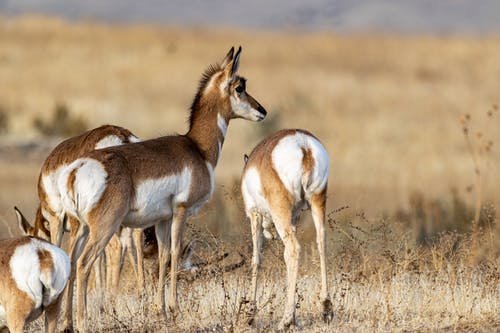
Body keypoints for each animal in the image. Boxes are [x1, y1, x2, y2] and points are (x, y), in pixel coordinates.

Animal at [13, 124, 145, 330]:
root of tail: (121, 135)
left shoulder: (58, 221)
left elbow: (69, 263)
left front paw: (67, 322)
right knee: (134, 243)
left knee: (116, 248)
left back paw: (111, 309)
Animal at [53, 46, 268, 330]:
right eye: (240, 87)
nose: (263, 111)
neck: (197, 148)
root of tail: (77, 169)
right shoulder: (181, 211)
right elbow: (176, 253)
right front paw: (174, 308)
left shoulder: (162, 220)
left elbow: (164, 257)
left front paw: (161, 311)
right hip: (104, 228)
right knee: (83, 264)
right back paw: (83, 323)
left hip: (81, 228)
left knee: (69, 261)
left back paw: (67, 322)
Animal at [241, 128, 332, 328]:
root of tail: (303, 145)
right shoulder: (295, 218)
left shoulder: (254, 214)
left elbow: (256, 259)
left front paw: (249, 314)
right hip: (317, 202)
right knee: (321, 244)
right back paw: (326, 309)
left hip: (280, 212)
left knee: (293, 249)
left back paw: (286, 320)